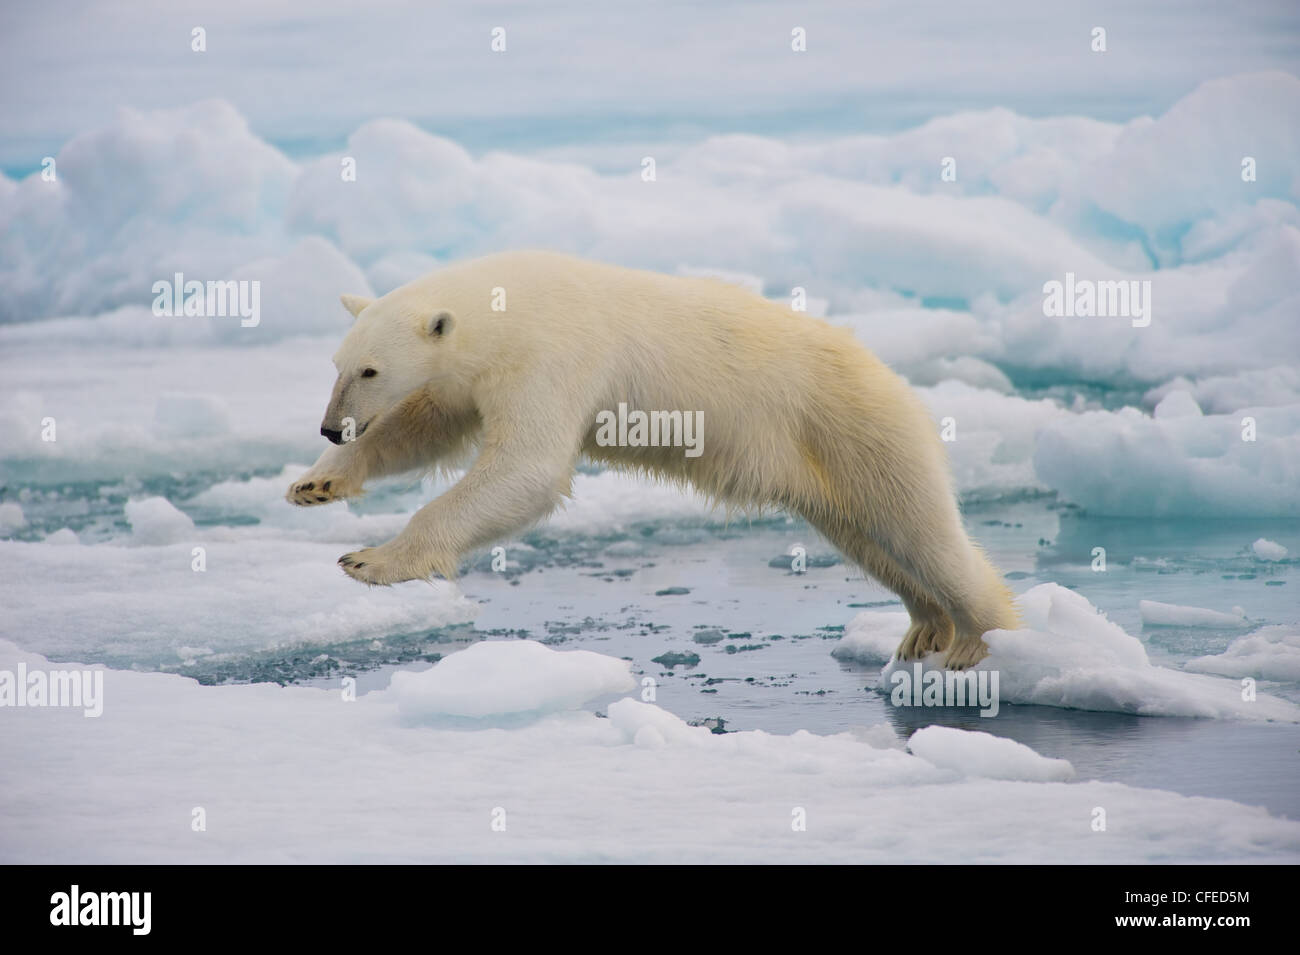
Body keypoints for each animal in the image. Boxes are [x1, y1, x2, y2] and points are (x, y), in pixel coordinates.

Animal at [287, 250, 1018, 669]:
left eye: (370, 369)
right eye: (337, 364)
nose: (329, 426)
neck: (507, 303)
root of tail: (891, 377)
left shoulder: (554, 353)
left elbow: (526, 467)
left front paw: (371, 560)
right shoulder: (473, 375)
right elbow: (425, 427)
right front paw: (316, 483)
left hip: (856, 427)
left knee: (921, 530)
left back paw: (978, 639)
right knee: (871, 539)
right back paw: (924, 627)